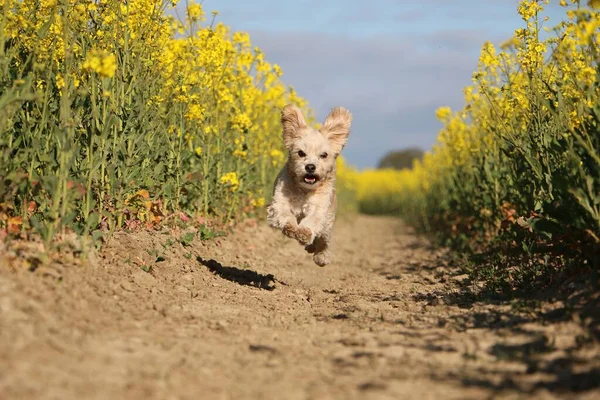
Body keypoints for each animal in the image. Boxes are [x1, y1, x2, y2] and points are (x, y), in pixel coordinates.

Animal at [266, 104, 352, 266]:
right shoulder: (279, 203)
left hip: (328, 220)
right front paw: (291, 227)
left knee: (324, 239)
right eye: (301, 153)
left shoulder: (319, 208)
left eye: (324, 155)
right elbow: (285, 213)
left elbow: (312, 221)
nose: (310, 167)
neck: (304, 190)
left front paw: (304, 233)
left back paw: (321, 255)